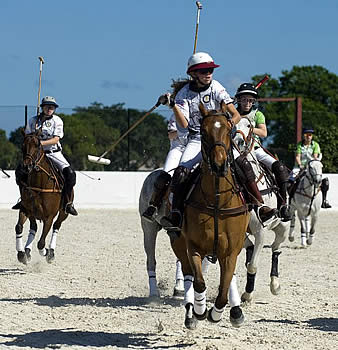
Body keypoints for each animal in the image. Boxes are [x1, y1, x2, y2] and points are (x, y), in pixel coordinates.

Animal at [14, 131, 69, 262]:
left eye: (38, 145)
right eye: (23, 145)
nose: (26, 166)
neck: (39, 184)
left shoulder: (49, 217)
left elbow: (41, 243)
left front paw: (47, 252)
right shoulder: (25, 209)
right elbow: (18, 227)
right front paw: (21, 254)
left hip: (63, 213)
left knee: (56, 226)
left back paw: (51, 251)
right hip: (33, 213)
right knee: (33, 227)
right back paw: (27, 251)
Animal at [170, 102, 250, 330]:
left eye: (229, 130)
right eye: (203, 133)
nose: (219, 164)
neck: (216, 200)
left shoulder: (231, 252)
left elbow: (223, 290)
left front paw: (216, 313)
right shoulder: (194, 247)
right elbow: (199, 282)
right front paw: (199, 310)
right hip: (179, 245)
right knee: (188, 275)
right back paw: (191, 313)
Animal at [234, 118, 290, 304]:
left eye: (249, 126)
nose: (238, 141)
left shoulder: (260, 231)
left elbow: (252, 265)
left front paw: (247, 294)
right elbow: (249, 259)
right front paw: (246, 293)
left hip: (283, 228)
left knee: (276, 250)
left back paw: (275, 285)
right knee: (256, 249)